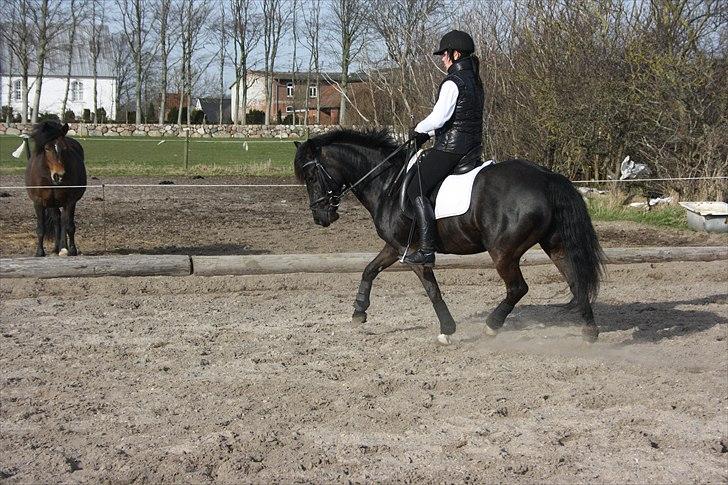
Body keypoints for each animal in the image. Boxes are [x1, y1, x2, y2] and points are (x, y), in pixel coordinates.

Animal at [25, 121, 87, 258]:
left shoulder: (70, 201)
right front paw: (39, 252)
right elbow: (41, 228)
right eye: (47, 148)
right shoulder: (38, 202)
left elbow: (69, 226)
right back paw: (56, 248)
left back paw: (63, 248)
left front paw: (72, 250)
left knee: (63, 220)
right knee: (57, 219)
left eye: (64, 148)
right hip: (52, 203)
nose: (59, 175)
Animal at [292, 126, 604, 342]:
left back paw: (492, 326)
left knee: (518, 288)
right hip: (555, 244)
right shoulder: (395, 247)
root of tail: (547, 178)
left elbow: (432, 289)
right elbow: (369, 270)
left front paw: (447, 330)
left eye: (311, 176)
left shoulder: (413, 253)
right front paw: (359, 312)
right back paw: (590, 332)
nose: (320, 217)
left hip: (503, 251)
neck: (387, 183)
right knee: (576, 280)